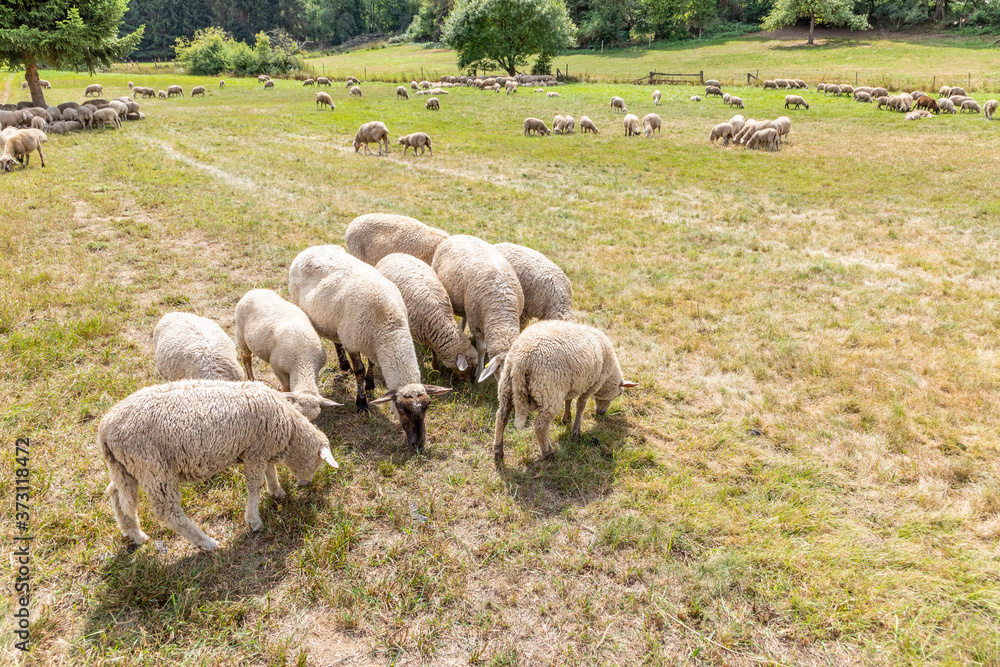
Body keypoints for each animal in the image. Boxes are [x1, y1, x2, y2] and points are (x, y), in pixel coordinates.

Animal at [98, 378, 340, 552]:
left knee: (116, 494)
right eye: (318, 463)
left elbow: (270, 472)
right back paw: (207, 543)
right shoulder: (255, 452)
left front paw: (277, 491)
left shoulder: (260, 449)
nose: (306, 484)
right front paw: (254, 520)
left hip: (126, 468)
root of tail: (105, 429)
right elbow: (255, 485)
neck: (289, 428)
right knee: (168, 512)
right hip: (153, 467)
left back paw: (135, 535)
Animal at [232, 290, 338, 420]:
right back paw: (251, 378)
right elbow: (286, 387)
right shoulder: (278, 367)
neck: (304, 360)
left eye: (314, 418)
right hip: (241, 336)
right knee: (246, 358)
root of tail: (254, 290)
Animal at [286, 244, 450, 448]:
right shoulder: (353, 342)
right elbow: (360, 371)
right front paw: (361, 403)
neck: (388, 326)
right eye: (401, 408)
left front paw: (370, 384)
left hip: (333, 322)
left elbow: (372, 364)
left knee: (336, 339)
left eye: (428, 405)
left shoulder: (371, 345)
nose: (418, 444)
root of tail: (311, 249)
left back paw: (344, 365)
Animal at [490, 320, 636, 468]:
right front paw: (575, 432)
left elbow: (569, 400)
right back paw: (548, 453)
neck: (608, 377)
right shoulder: (591, 386)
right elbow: (580, 406)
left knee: (501, 418)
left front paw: (566, 418)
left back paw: (498, 452)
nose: (601, 413)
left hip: (506, 387)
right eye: (618, 394)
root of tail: (521, 360)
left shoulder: (571, 385)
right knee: (540, 426)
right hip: (549, 393)